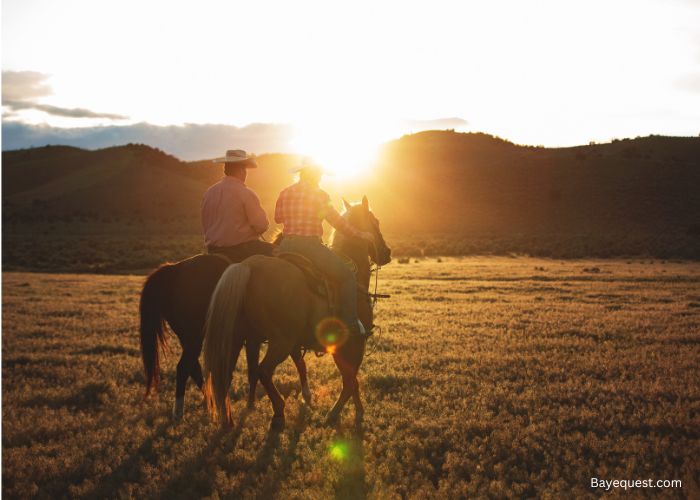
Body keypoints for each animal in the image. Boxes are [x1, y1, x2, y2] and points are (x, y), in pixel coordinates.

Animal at [139, 254, 312, 418]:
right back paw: (180, 412)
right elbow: (259, 369)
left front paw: (251, 404)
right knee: (184, 367)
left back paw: (210, 402)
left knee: (194, 368)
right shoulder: (271, 338)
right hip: (195, 337)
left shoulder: (263, 339)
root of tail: (175, 268)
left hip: (186, 337)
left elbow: (290, 364)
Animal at [202, 197, 392, 428]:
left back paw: (228, 419)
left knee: (226, 375)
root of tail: (249, 267)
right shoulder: (353, 344)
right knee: (263, 371)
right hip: (280, 341)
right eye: (376, 222)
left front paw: (356, 411)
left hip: (238, 338)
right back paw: (278, 412)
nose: (387, 253)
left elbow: (348, 379)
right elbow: (350, 381)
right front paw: (339, 413)